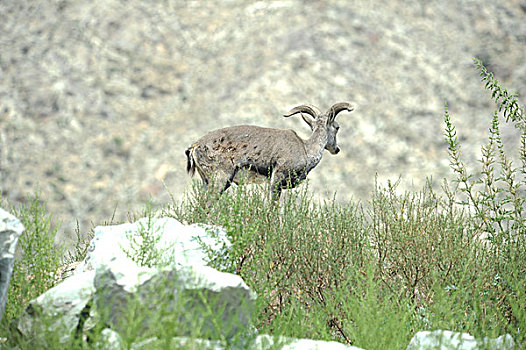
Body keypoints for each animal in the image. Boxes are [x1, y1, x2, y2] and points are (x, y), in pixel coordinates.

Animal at [186, 102, 354, 200]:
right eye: (337, 127)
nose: (336, 149)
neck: (305, 149)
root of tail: (194, 146)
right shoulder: (277, 178)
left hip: (206, 180)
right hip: (220, 178)